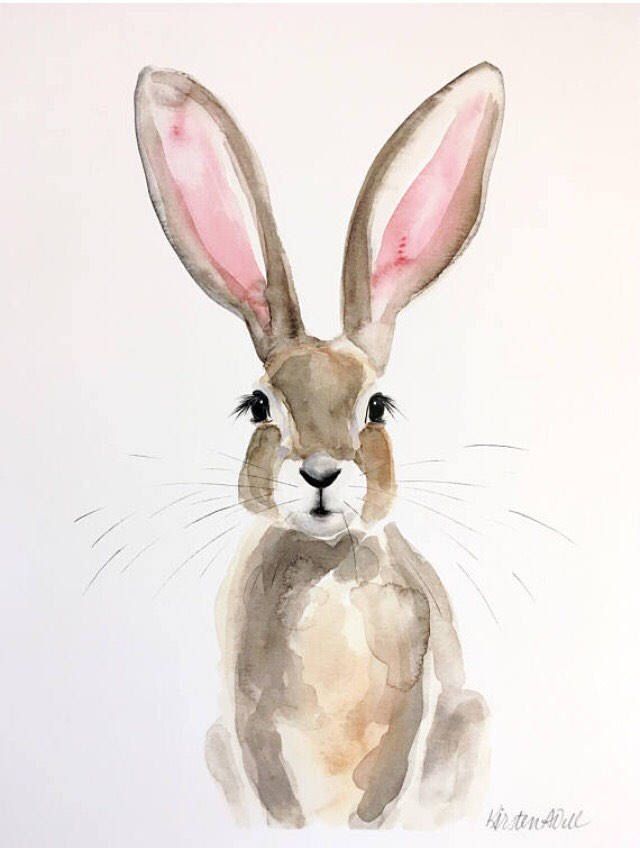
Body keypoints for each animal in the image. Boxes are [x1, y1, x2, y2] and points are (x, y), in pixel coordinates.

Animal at [135, 61, 504, 828]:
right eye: (259, 406)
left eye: (376, 407)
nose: (322, 473)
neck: (327, 566)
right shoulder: (248, 723)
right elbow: (277, 793)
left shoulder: (412, 708)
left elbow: (381, 792)